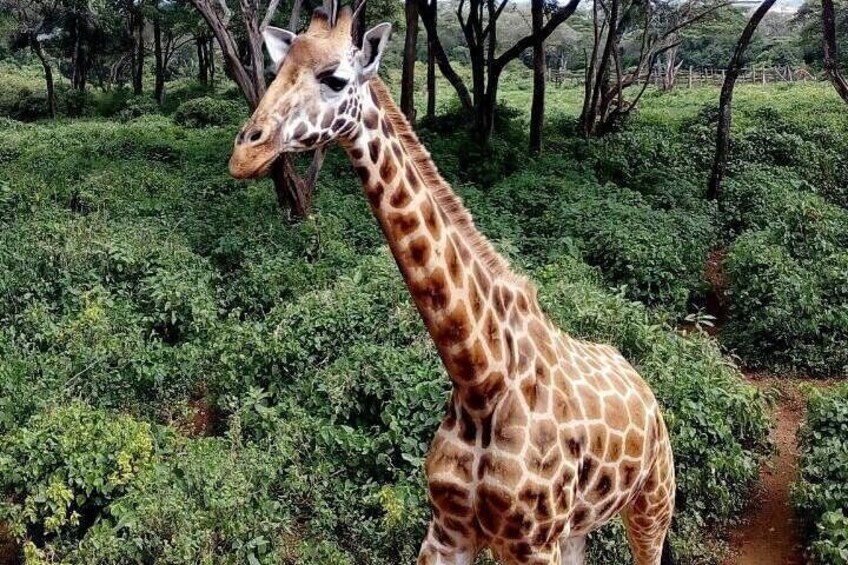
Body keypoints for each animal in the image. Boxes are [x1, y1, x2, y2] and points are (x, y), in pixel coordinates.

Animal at [228, 7, 676, 565]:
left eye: (335, 79)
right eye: (277, 69)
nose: (245, 153)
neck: (480, 381)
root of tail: (647, 391)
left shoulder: (533, 542)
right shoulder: (448, 528)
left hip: (653, 502)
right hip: (579, 527)